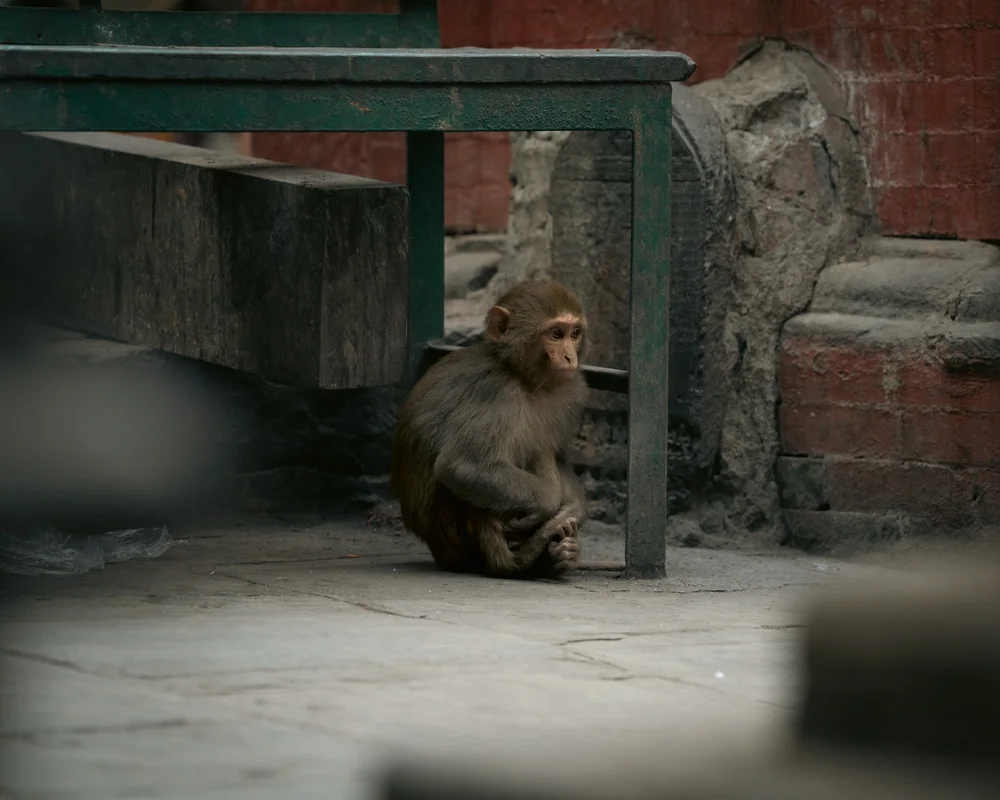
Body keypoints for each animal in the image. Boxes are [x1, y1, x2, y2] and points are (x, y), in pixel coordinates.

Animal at [391, 280, 590, 579]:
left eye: (574, 333)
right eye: (556, 334)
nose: (569, 357)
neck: (522, 377)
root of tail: (437, 550)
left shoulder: (572, 392)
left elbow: (559, 458)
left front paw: (572, 510)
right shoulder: (497, 392)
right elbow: (461, 465)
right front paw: (549, 503)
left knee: (539, 448)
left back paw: (555, 556)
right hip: (455, 537)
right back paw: (516, 562)